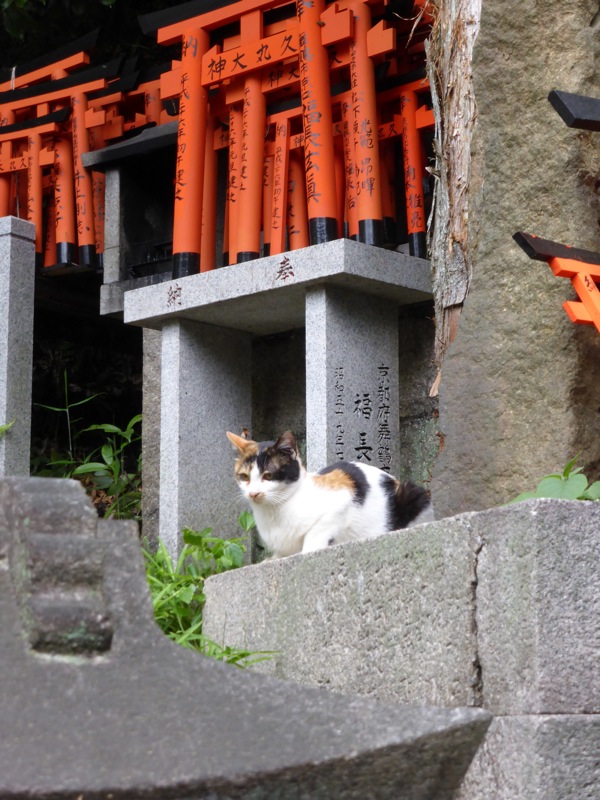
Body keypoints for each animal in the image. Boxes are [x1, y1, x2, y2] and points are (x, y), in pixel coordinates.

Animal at [226, 430, 433, 559]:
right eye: (244, 476)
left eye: (268, 475)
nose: (254, 493)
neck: (273, 512)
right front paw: (272, 558)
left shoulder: (342, 499)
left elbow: (315, 533)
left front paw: (307, 551)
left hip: (413, 494)